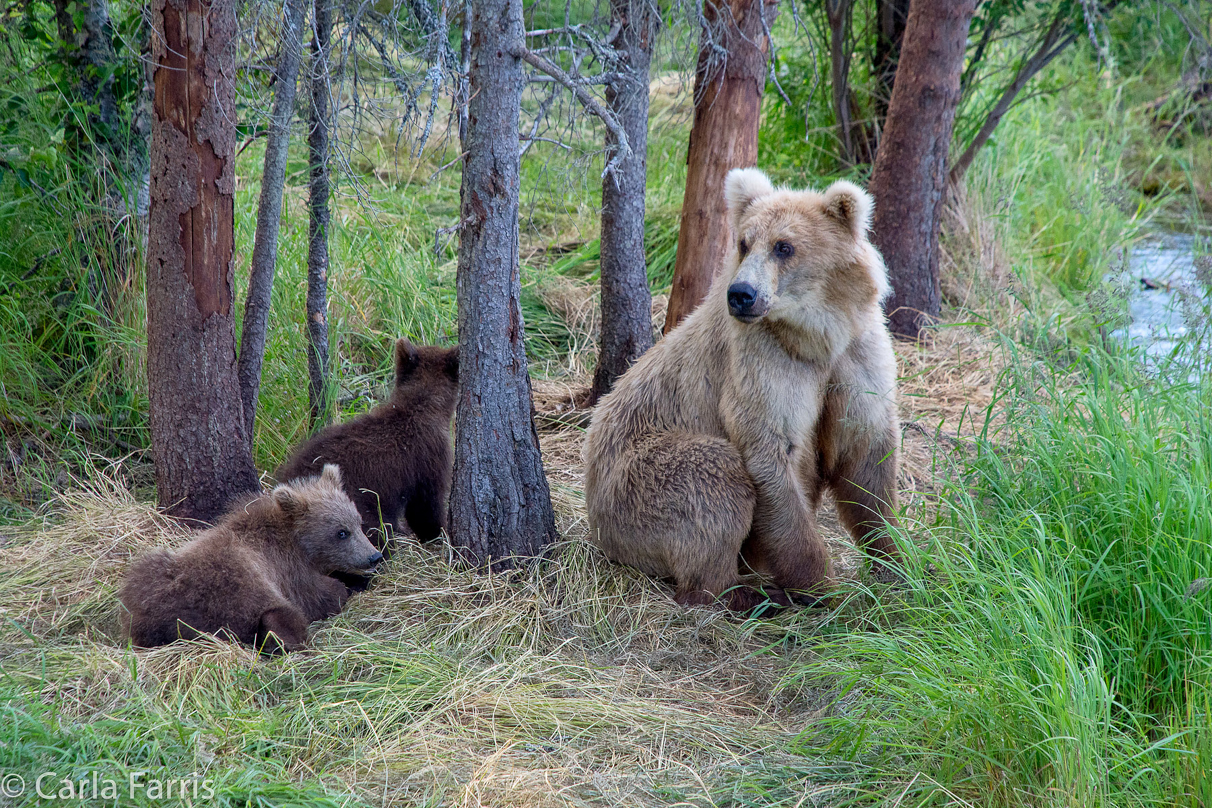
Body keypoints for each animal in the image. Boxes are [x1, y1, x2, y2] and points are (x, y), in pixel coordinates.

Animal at [119, 465, 380, 654]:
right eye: (341, 532)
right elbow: (322, 594)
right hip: (242, 587)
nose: (374, 556)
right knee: (283, 617)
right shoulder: (289, 571)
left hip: (150, 581)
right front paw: (347, 586)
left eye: (358, 522)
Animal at [581, 169, 906, 612]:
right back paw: (748, 593)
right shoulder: (764, 364)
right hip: (632, 484)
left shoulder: (855, 359)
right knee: (713, 477)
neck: (815, 338)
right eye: (744, 242)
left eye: (784, 246)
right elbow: (772, 452)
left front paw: (898, 562)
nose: (741, 294)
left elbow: (867, 460)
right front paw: (822, 586)